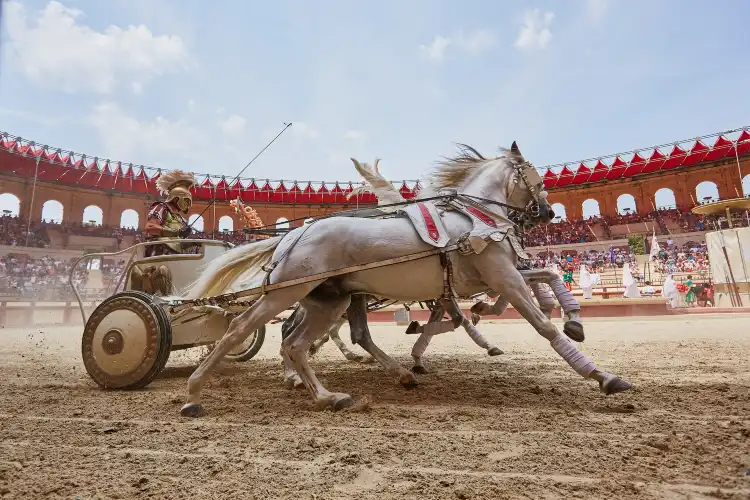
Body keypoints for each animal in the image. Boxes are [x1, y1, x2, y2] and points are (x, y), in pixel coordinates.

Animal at [182, 143, 636, 416]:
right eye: (535, 175)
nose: (547, 213)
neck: (473, 217)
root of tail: (293, 235)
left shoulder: (490, 278)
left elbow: (547, 277)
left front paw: (574, 320)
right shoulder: (501, 274)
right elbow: (540, 322)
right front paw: (602, 375)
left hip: (328, 299)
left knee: (298, 341)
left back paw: (329, 394)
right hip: (288, 294)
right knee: (242, 329)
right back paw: (194, 391)